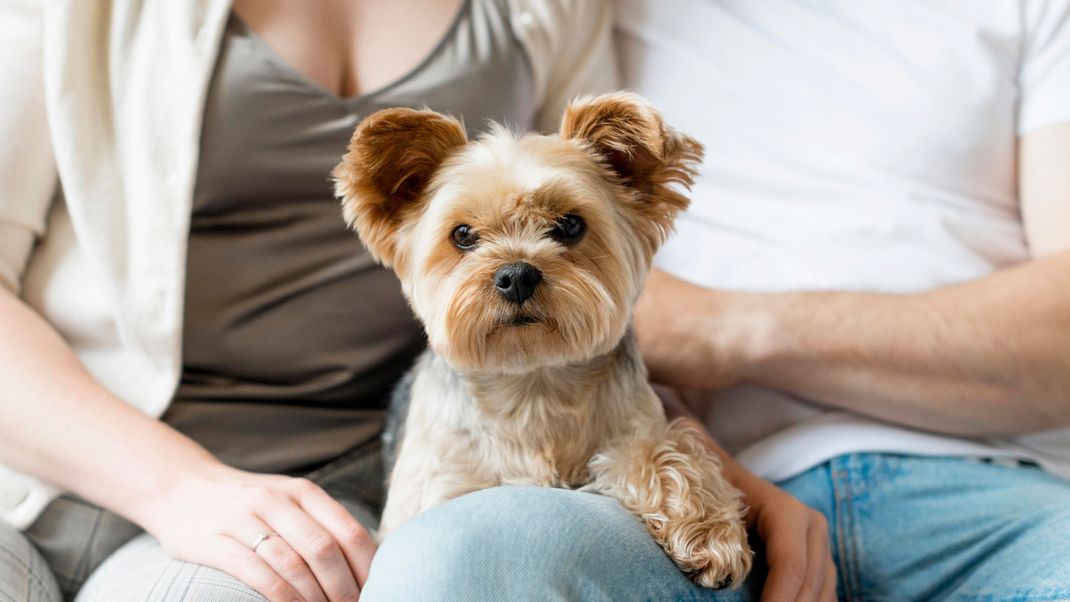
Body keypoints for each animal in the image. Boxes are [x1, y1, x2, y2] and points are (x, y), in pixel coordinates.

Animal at [333, 94, 753, 590]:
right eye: (462, 235)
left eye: (571, 225)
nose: (516, 275)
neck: (533, 383)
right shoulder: (435, 483)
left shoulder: (637, 424)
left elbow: (663, 450)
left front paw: (710, 531)